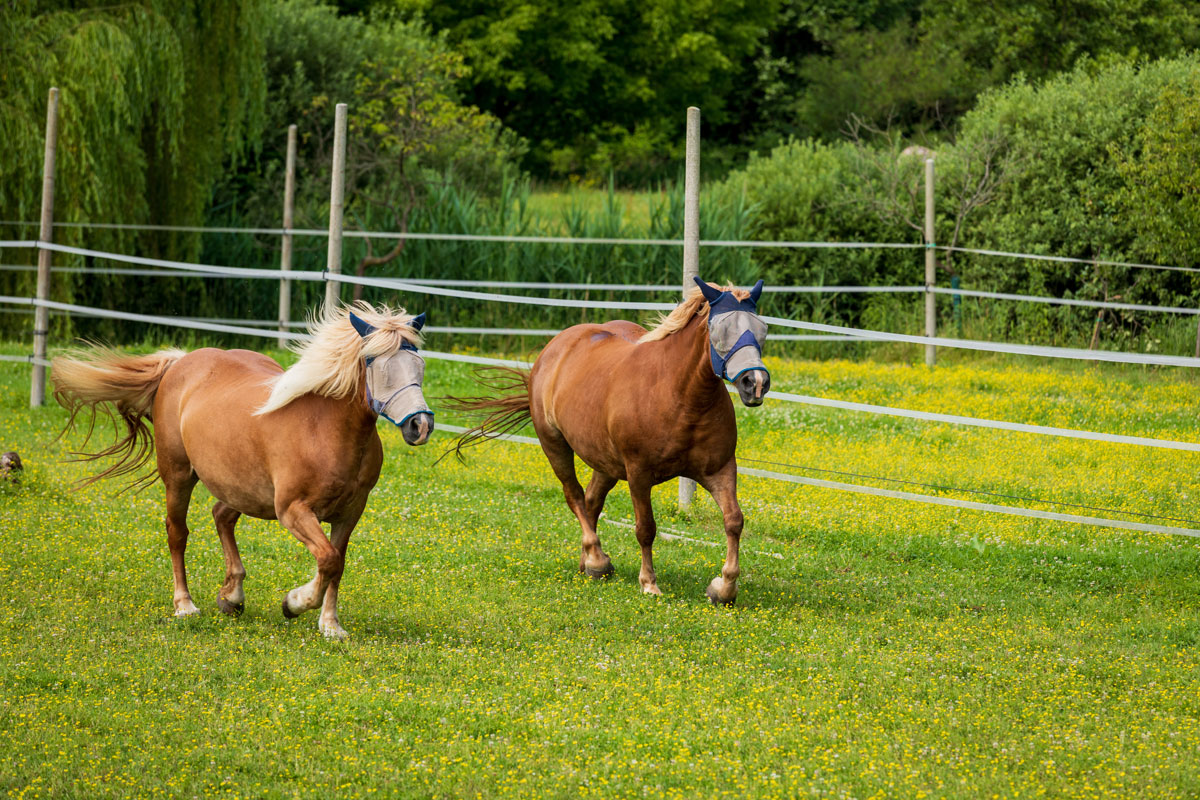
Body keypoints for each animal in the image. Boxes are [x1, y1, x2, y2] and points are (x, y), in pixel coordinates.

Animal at [54, 303, 436, 642]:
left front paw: (330, 626)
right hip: (179, 476)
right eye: (380, 366)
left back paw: (231, 597)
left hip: (240, 486)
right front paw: (293, 604)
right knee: (177, 533)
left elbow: (336, 564)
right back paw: (185, 605)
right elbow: (327, 560)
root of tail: (181, 362)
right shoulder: (293, 511)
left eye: (419, 365)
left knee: (221, 516)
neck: (324, 428)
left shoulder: (351, 512)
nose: (421, 425)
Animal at [448, 278, 768, 604]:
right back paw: (596, 560)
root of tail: (554, 349)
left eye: (761, 329)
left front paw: (724, 588)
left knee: (591, 501)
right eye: (719, 329)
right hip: (555, 445)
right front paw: (649, 583)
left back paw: (586, 562)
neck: (680, 394)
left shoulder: (720, 470)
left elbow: (734, 521)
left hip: (605, 462)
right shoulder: (638, 474)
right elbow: (646, 528)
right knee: (575, 496)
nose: (755, 383)